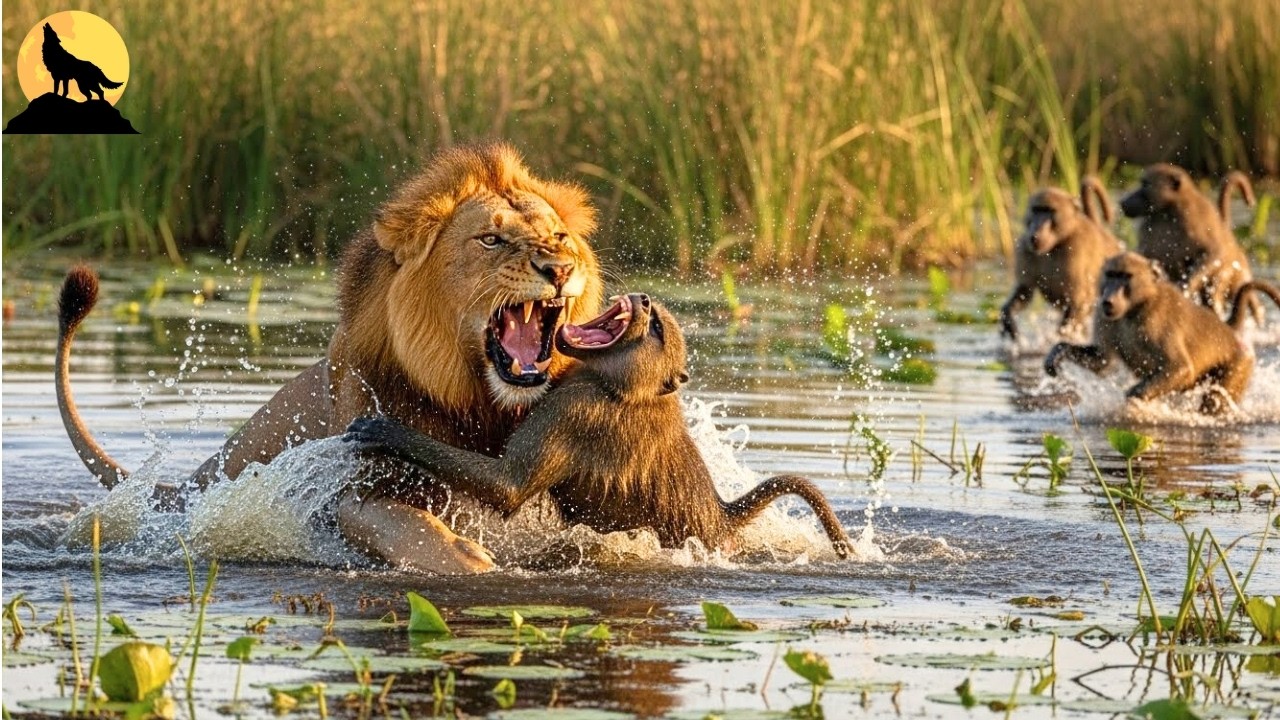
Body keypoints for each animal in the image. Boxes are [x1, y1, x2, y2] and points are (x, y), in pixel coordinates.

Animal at [55, 142, 604, 573]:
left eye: (559, 237)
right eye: (491, 239)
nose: (559, 268)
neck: (476, 400)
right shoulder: (354, 487)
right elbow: (410, 527)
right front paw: (476, 560)